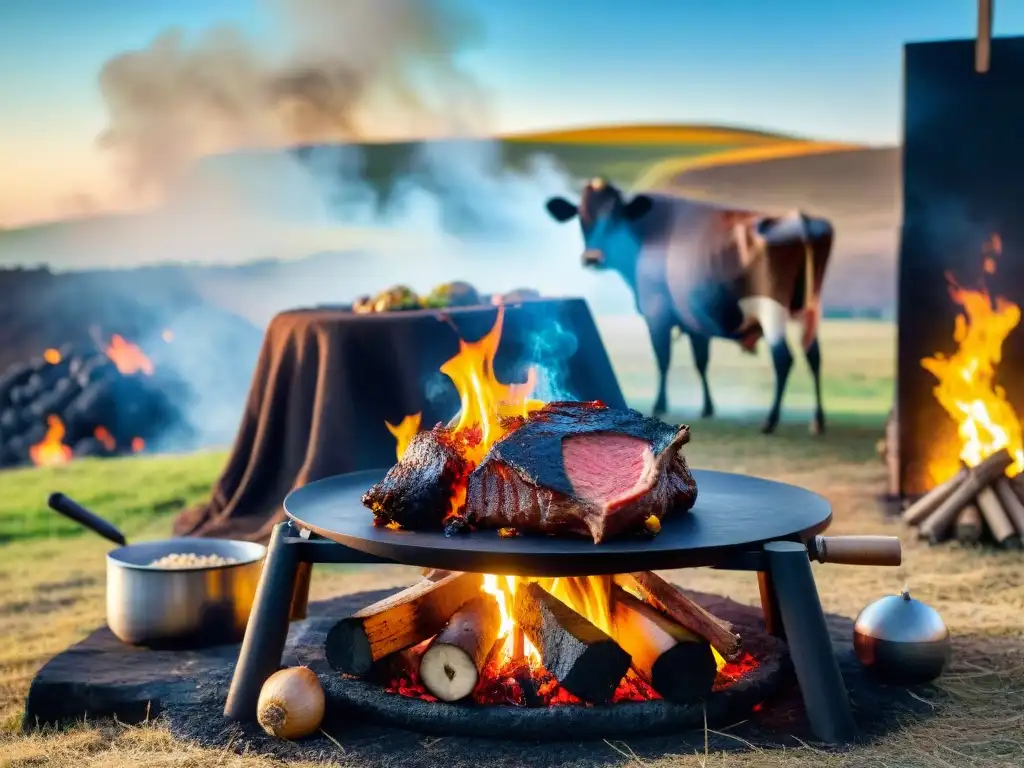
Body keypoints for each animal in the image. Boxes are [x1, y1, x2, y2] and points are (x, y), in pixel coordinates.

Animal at [544, 177, 831, 436]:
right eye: (582, 217)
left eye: (615, 217)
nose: (592, 258)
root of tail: (800, 219)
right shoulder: (694, 321)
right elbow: (701, 361)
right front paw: (707, 408)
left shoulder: (657, 312)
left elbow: (663, 358)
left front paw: (660, 404)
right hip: (809, 309)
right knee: (814, 356)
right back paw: (817, 420)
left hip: (771, 308)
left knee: (783, 358)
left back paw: (771, 420)